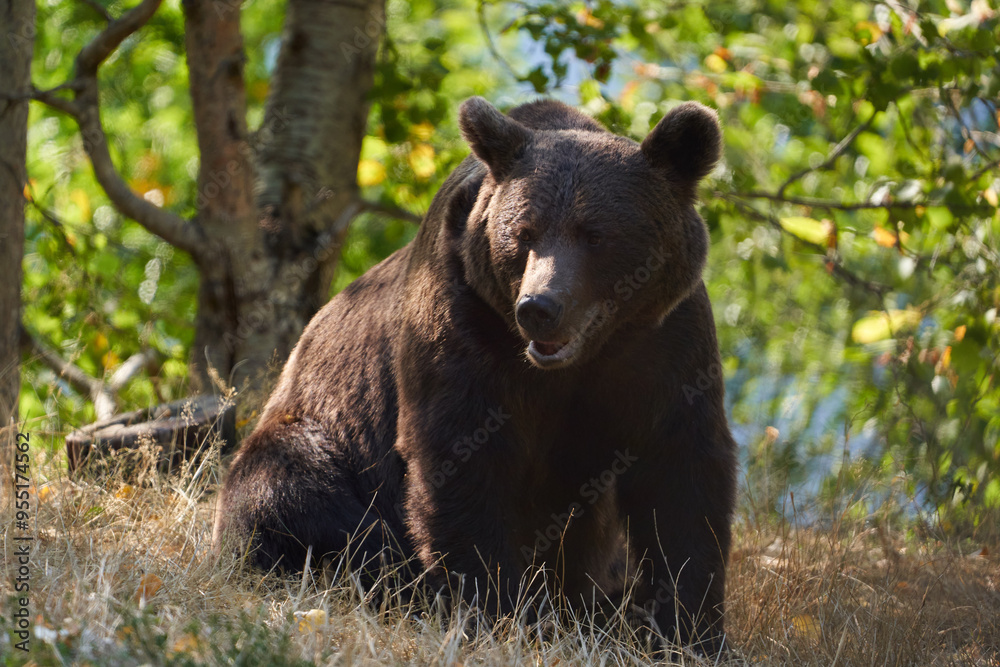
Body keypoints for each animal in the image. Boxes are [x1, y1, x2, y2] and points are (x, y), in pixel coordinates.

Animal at [214, 96, 738, 654]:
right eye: (524, 233)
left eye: (595, 234)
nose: (539, 307)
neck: (580, 358)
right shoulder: (462, 323)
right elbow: (462, 459)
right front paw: (497, 613)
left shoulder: (664, 344)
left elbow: (681, 476)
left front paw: (689, 631)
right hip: (318, 441)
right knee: (286, 490)